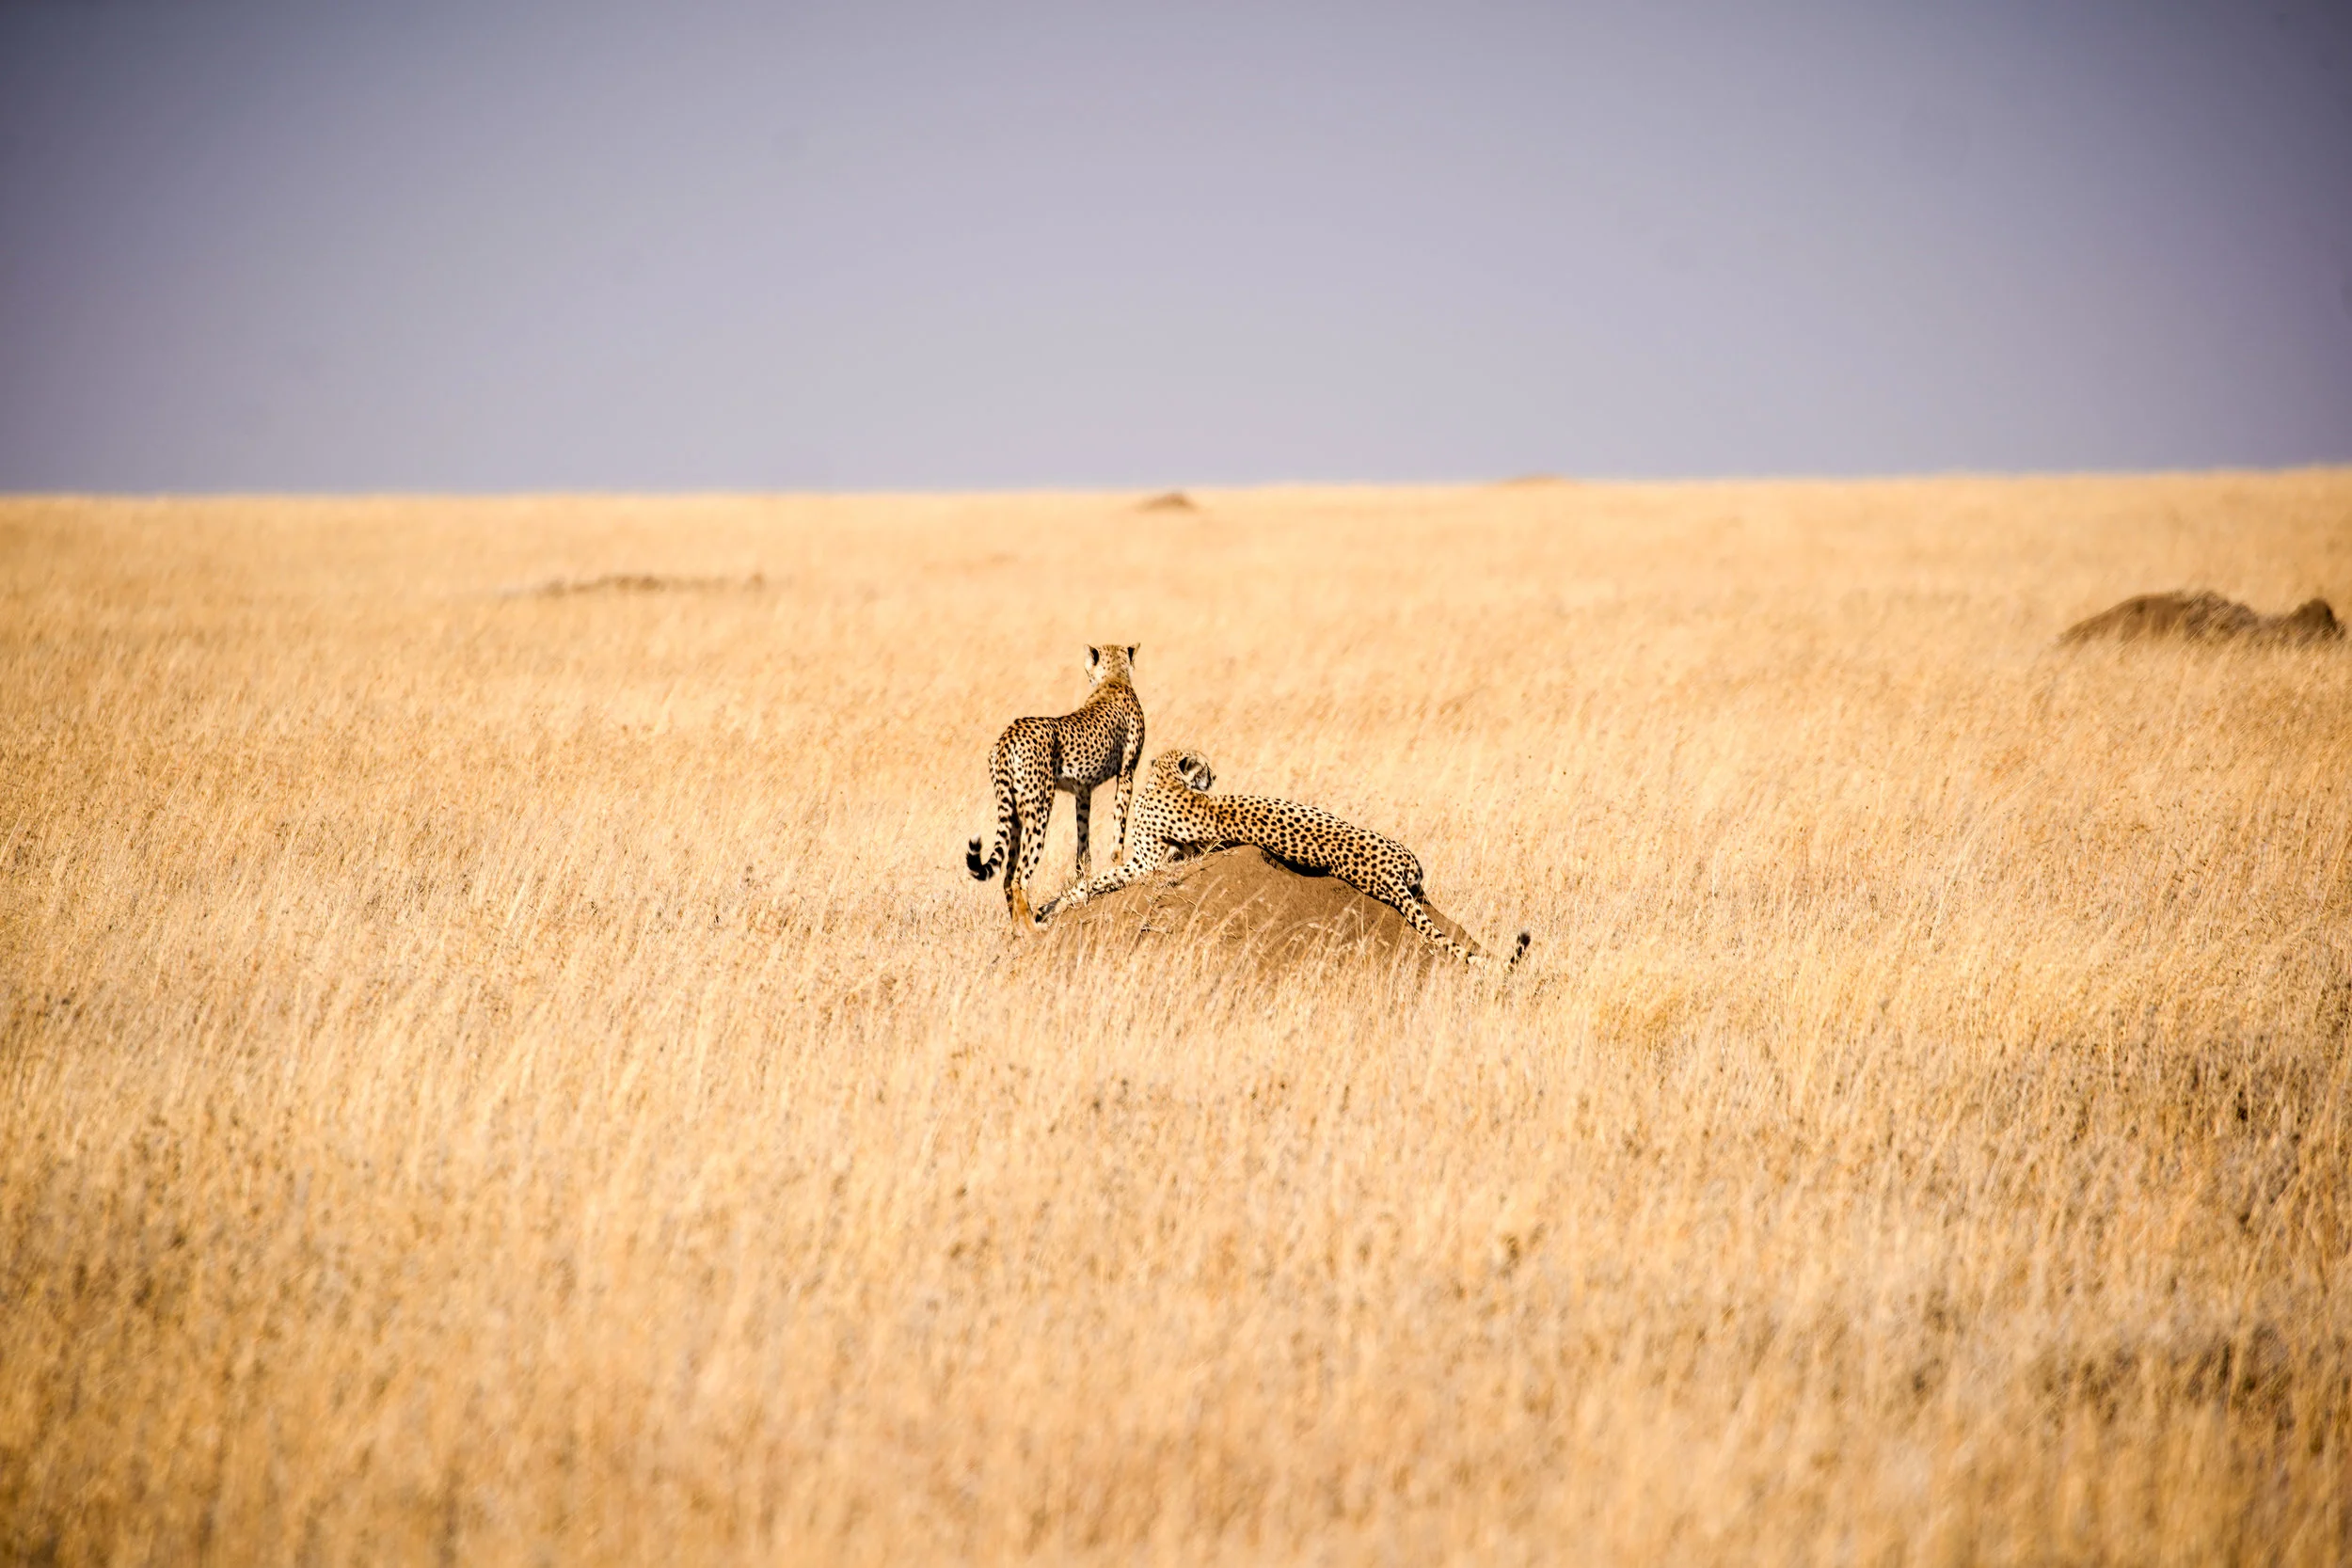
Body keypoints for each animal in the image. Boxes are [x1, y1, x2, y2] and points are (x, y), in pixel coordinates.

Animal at [966, 644, 1147, 924]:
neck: (1113, 679)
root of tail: (1009, 734)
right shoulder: (1126, 773)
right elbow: (1118, 833)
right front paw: (1117, 869)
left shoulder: (1082, 791)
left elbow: (1083, 844)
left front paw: (1084, 880)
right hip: (1039, 807)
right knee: (1019, 877)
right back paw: (1032, 928)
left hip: (1013, 812)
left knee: (1007, 877)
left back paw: (1018, 927)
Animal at [1033, 747, 1531, 969]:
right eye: (1205, 766)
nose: (1216, 775)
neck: (1167, 779)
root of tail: (1387, 873)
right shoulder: (1153, 861)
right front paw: (1057, 902)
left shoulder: (1147, 863)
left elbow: (1099, 879)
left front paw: (1058, 902)